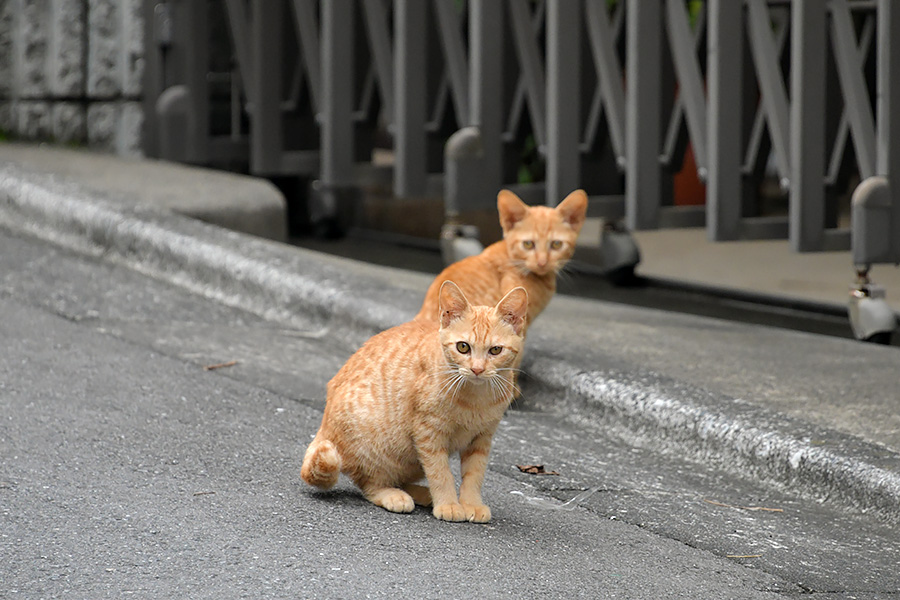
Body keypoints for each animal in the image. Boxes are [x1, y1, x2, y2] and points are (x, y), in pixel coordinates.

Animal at [302, 282, 528, 520]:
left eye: (495, 350)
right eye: (463, 347)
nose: (477, 369)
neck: (476, 398)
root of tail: (324, 426)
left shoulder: (482, 438)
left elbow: (475, 474)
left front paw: (471, 504)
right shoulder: (428, 433)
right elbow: (440, 473)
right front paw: (448, 504)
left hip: (410, 461)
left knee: (396, 478)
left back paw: (420, 493)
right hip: (378, 448)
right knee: (370, 484)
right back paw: (394, 495)